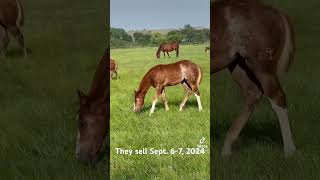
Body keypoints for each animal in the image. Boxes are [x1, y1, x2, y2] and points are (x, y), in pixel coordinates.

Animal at [211, 0, 296, 157]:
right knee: (253, 95)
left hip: (262, 68)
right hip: (239, 66)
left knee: (277, 98)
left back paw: (289, 151)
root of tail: (277, 12)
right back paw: (226, 151)